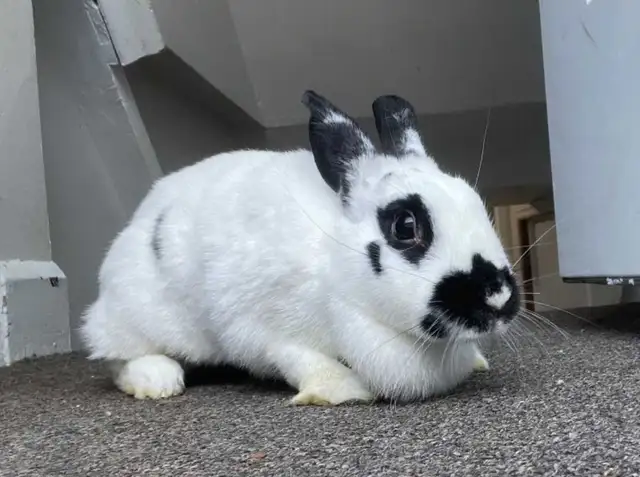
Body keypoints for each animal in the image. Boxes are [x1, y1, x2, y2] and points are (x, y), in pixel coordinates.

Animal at [80, 90, 519, 405]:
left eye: (477, 203)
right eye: (405, 226)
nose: (498, 297)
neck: (334, 263)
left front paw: (477, 361)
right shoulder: (260, 327)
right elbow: (298, 358)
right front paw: (342, 391)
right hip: (137, 313)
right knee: (117, 356)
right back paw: (158, 380)